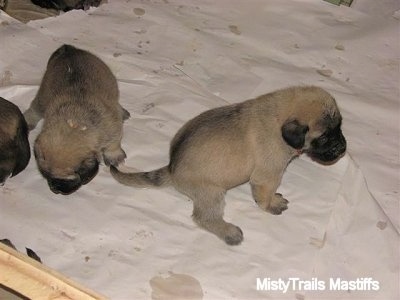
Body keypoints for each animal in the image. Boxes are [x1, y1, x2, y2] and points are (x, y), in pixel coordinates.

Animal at [111, 85, 346, 245]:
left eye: (339, 127)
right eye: (324, 137)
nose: (343, 148)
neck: (278, 119)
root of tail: (172, 169)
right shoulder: (268, 175)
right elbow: (266, 194)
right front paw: (272, 204)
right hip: (212, 193)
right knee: (204, 218)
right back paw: (228, 232)